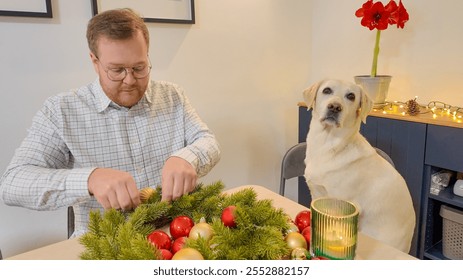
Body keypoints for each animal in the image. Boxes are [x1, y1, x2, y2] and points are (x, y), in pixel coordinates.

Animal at [304, 79, 416, 254]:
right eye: (327, 90)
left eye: (351, 96)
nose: (335, 107)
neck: (328, 145)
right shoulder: (316, 194)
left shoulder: (340, 205)